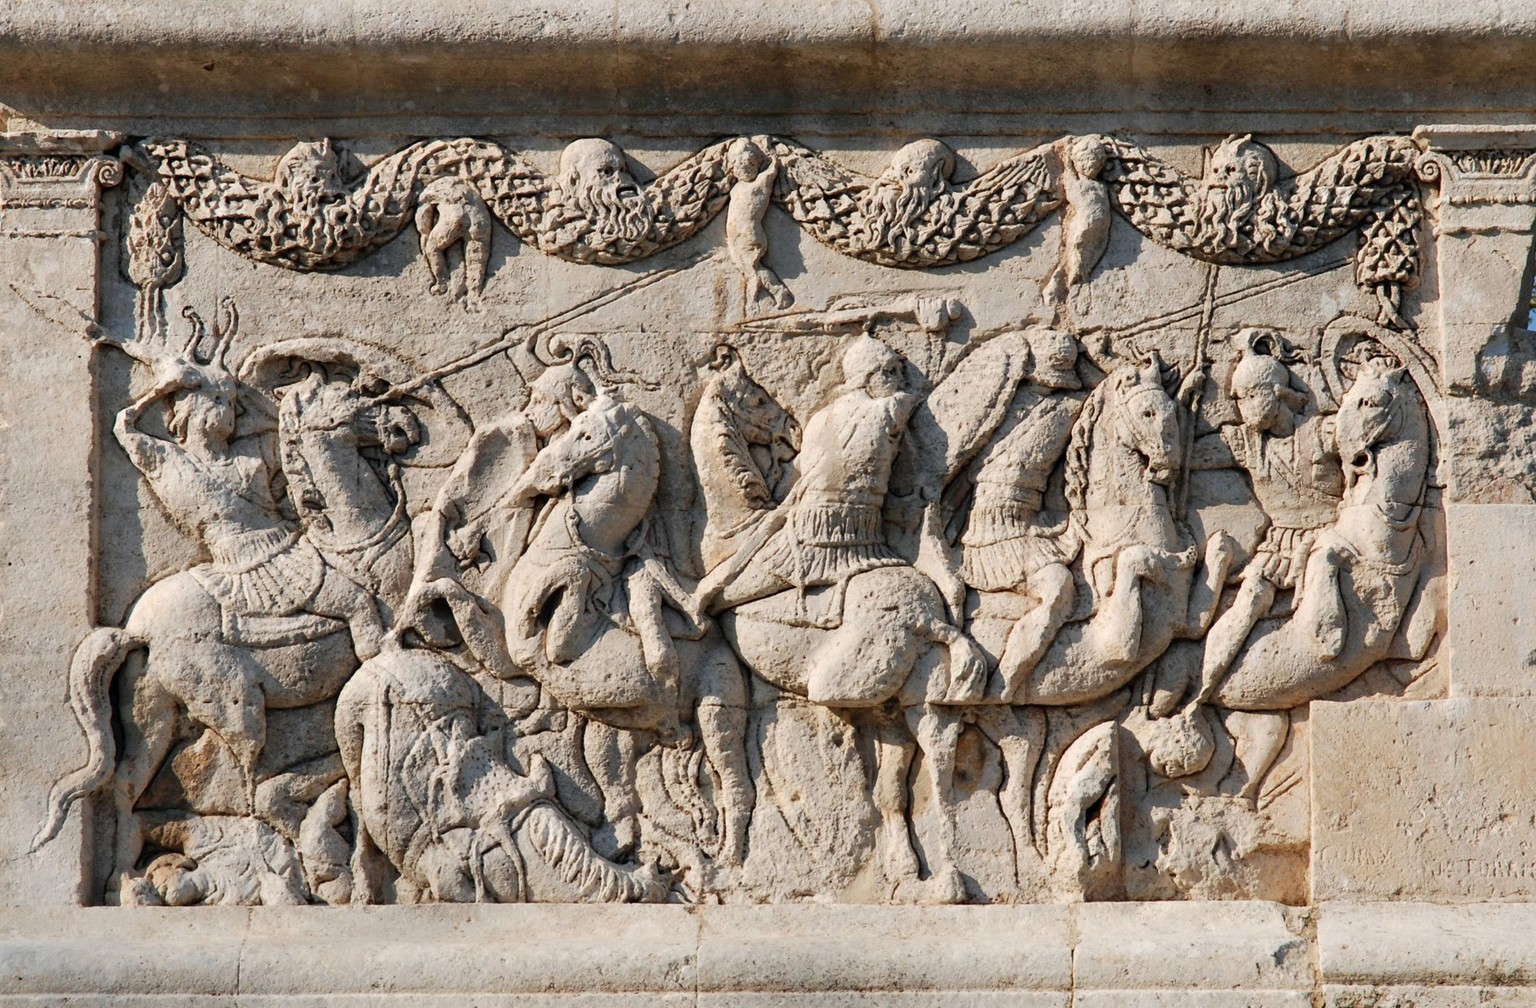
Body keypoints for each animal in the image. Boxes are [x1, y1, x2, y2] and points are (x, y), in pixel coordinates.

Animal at [35, 365, 417, 885]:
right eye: (346, 398)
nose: (402, 423)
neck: (357, 541)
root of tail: (137, 629)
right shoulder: (365, 628)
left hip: (152, 709)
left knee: (127, 782)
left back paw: (125, 876)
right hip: (234, 703)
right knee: (250, 785)